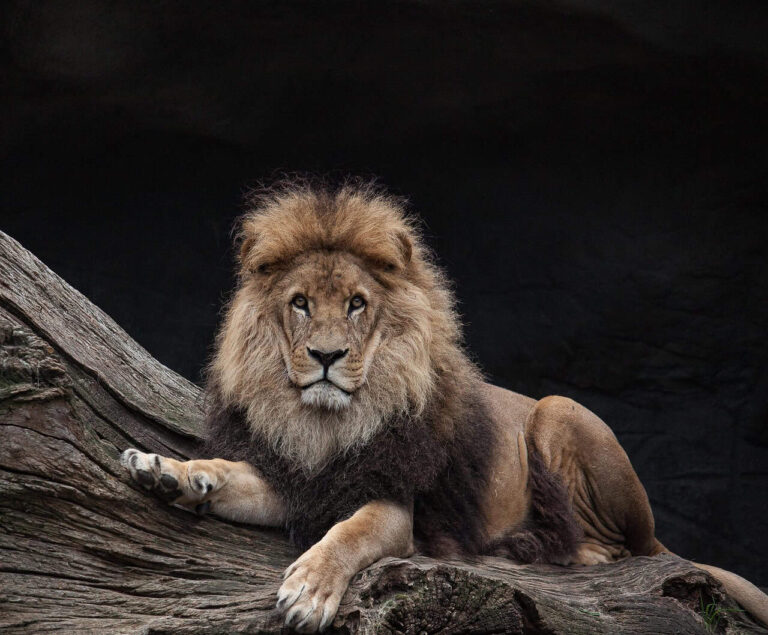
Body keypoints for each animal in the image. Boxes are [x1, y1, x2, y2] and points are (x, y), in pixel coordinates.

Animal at [121, 180, 768, 632]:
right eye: (300, 302)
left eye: (357, 304)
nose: (327, 356)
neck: (326, 423)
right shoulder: (304, 480)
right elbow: (230, 473)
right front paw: (169, 471)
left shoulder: (392, 504)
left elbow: (349, 534)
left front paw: (309, 590)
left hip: (560, 412)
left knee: (616, 548)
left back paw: (538, 548)